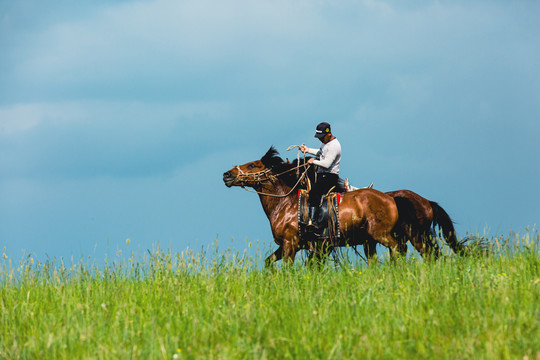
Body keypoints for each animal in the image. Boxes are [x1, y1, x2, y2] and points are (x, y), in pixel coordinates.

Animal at [221, 147, 402, 268]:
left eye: (252, 165)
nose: (226, 174)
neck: (285, 203)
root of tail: (390, 198)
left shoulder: (291, 244)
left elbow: (288, 269)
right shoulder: (288, 246)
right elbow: (268, 263)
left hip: (380, 235)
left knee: (398, 249)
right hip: (369, 241)